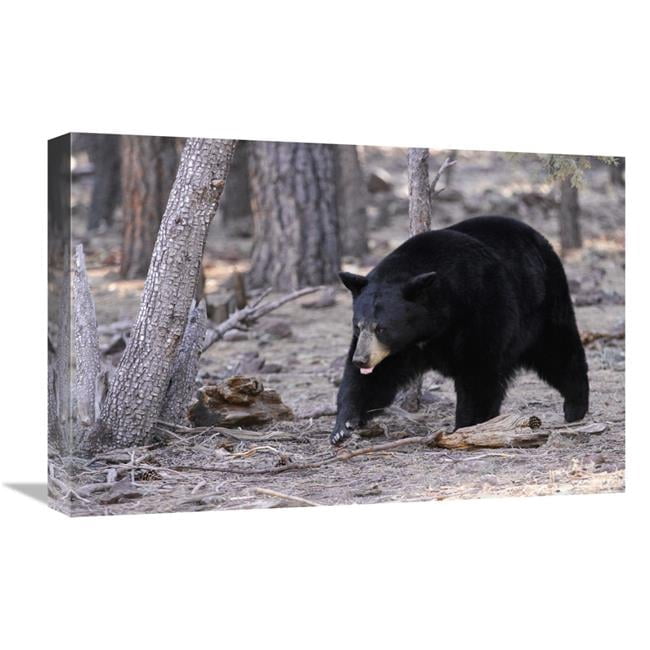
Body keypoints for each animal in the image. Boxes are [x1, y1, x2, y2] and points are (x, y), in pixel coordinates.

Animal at [330, 215, 589, 445]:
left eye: (382, 328)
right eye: (358, 325)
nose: (361, 360)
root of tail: (539, 237)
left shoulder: (481, 307)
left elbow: (478, 371)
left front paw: (467, 425)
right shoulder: (401, 348)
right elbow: (374, 379)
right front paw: (343, 426)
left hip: (543, 302)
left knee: (558, 350)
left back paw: (576, 406)